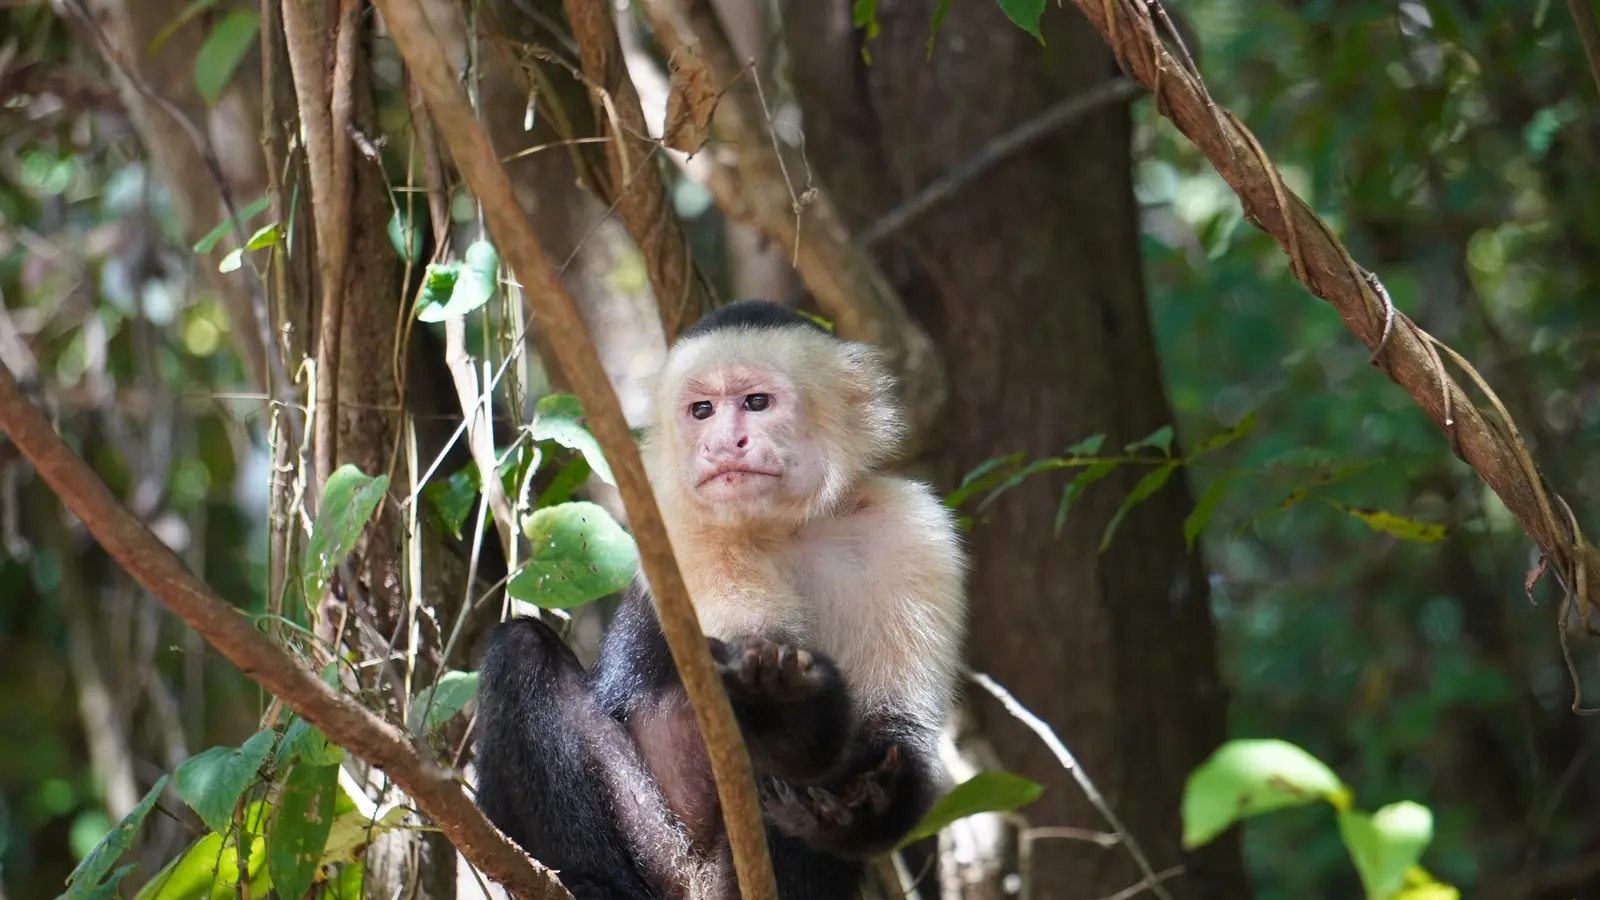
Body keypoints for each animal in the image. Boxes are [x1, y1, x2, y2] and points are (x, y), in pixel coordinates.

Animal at [473, 299, 970, 899]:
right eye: (702, 410)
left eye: (756, 402)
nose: (721, 444)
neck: (786, 528)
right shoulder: (676, 524)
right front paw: (780, 714)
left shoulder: (916, 529)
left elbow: (895, 729)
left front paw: (870, 803)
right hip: (660, 851)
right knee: (522, 652)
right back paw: (595, 883)